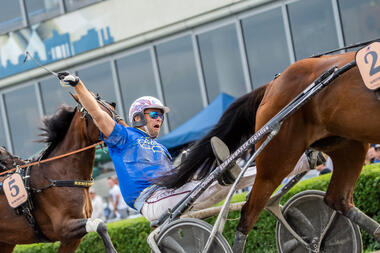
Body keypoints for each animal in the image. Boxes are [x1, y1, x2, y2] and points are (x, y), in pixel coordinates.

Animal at [0, 95, 117, 253]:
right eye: (97, 113)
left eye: (112, 108)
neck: (60, 174)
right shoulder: (64, 227)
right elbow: (100, 224)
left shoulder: (72, 238)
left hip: (6, 242)